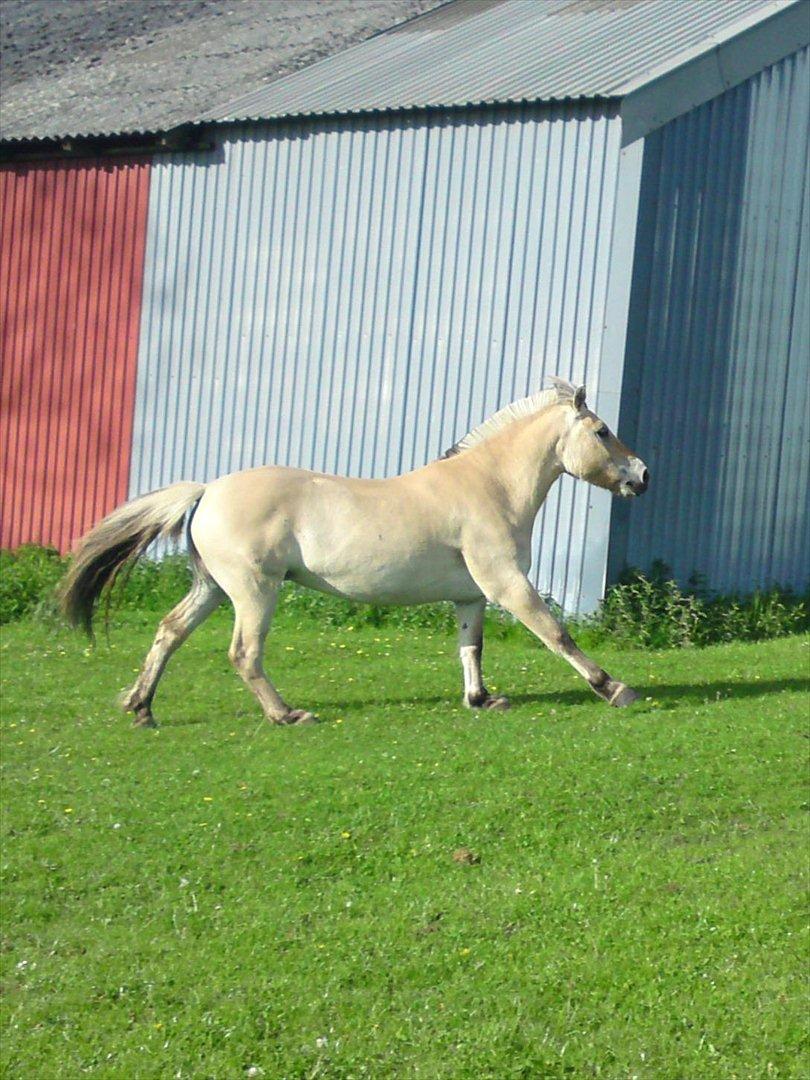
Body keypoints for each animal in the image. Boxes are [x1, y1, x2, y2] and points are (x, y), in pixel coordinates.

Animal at [59, 377, 648, 727]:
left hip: (212, 588)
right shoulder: (507, 583)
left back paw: (141, 707)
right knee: (244, 653)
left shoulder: (471, 595)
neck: (490, 485)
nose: (642, 475)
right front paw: (614, 688)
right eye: (602, 430)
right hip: (254, 590)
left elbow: (471, 648)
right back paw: (287, 715)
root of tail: (207, 491)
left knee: (169, 631)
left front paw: (482, 700)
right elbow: (555, 634)